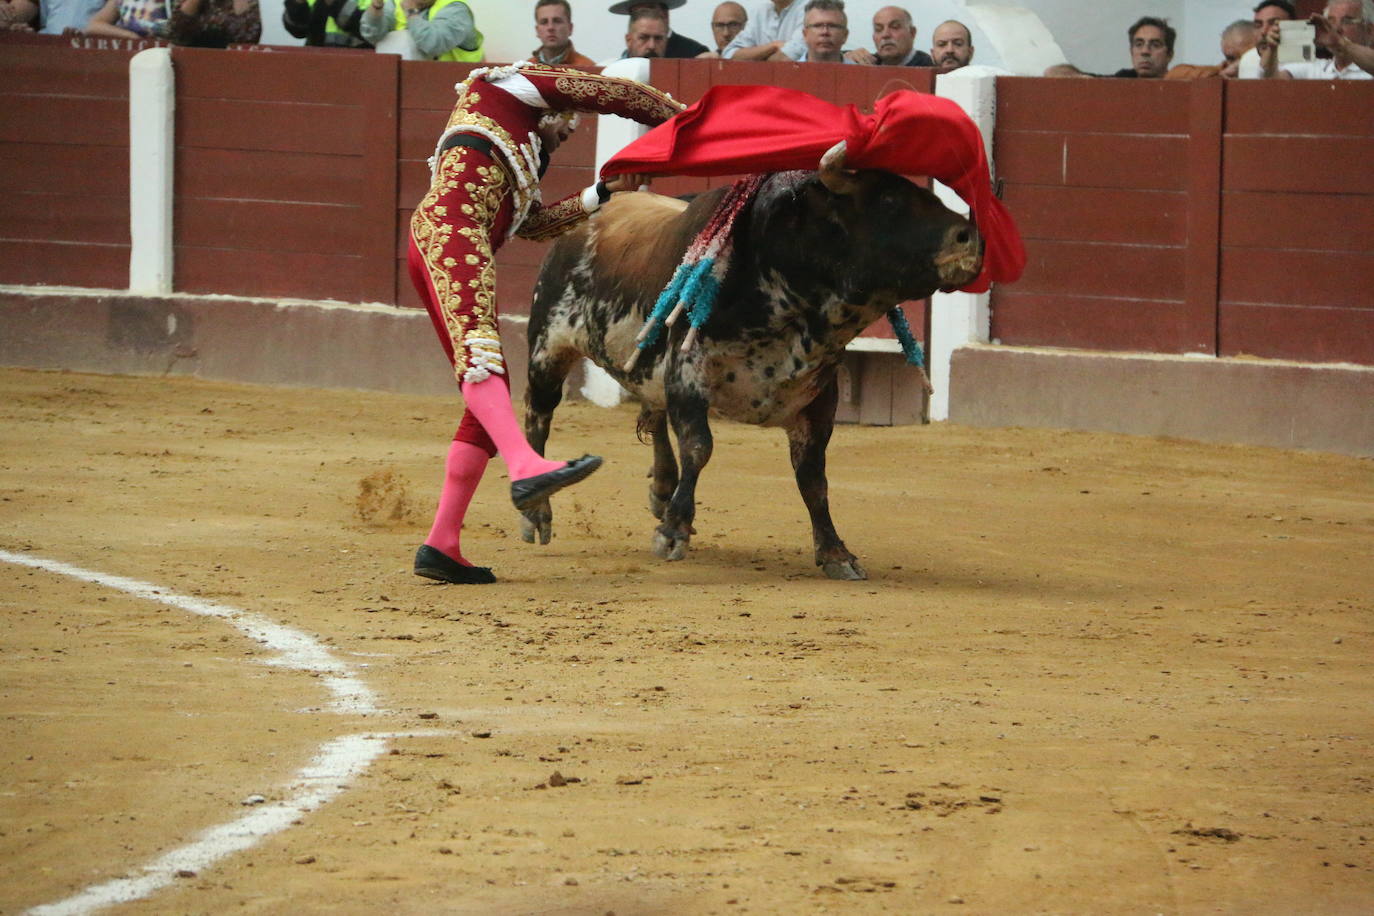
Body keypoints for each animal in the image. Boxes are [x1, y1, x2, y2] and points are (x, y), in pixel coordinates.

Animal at [516, 146, 978, 585]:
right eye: (887, 200)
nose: (970, 237)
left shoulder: (819, 396)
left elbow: (814, 478)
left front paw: (835, 553)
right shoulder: (687, 374)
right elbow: (699, 447)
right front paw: (673, 531)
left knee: (652, 411)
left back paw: (662, 490)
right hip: (547, 350)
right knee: (538, 416)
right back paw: (536, 509)